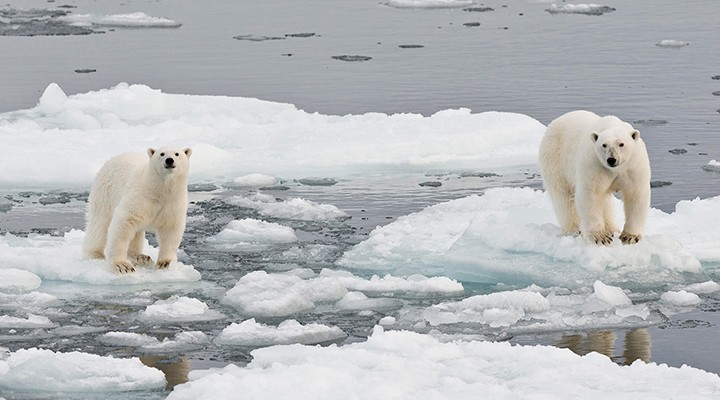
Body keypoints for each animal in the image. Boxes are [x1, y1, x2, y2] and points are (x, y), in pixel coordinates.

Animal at [82, 148, 191, 276]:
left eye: (177, 154)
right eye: (162, 153)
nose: (169, 160)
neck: (159, 190)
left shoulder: (173, 203)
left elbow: (171, 228)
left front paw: (164, 263)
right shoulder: (140, 196)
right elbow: (124, 221)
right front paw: (122, 265)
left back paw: (140, 256)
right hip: (104, 193)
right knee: (99, 224)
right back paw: (95, 254)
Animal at [540, 111, 652, 245]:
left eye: (621, 144)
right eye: (604, 145)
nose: (611, 159)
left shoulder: (633, 166)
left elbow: (635, 194)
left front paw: (630, 237)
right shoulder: (594, 164)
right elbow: (591, 193)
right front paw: (600, 237)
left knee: (605, 200)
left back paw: (612, 229)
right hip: (555, 158)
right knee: (563, 195)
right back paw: (574, 229)